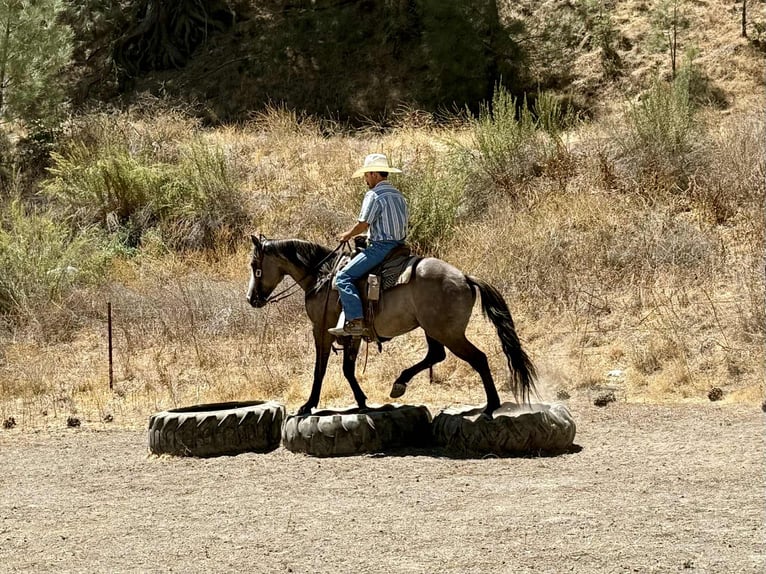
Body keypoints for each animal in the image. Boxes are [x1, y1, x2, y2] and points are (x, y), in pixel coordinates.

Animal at [246, 235, 537, 416]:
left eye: (254, 264)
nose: (252, 299)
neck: (321, 276)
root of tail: (465, 277)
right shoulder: (352, 334)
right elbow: (348, 369)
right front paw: (362, 401)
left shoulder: (321, 330)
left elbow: (321, 369)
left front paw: (308, 405)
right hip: (432, 330)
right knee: (436, 354)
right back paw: (400, 383)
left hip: (448, 333)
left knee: (478, 358)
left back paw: (491, 405)